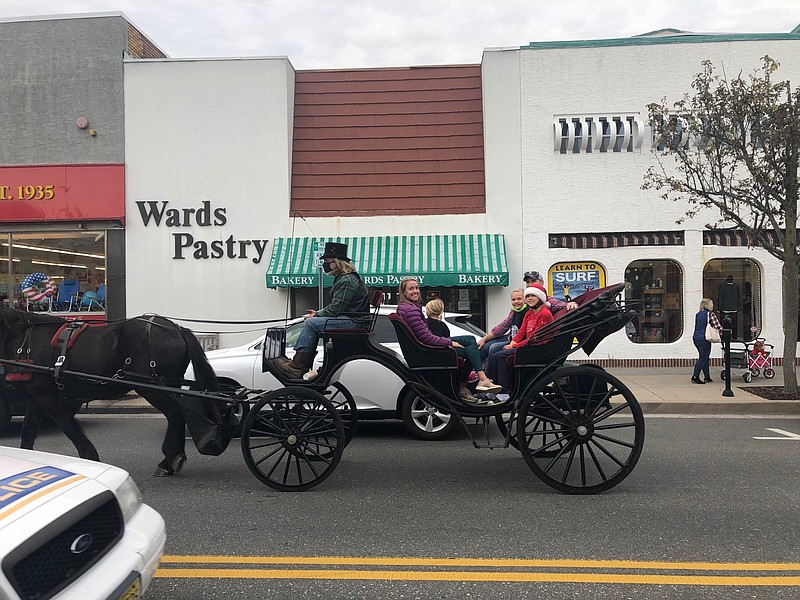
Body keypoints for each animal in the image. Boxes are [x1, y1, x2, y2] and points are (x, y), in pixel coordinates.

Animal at [0, 310, 227, 474]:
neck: (22, 340)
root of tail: (177, 329)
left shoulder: (49, 399)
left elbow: (70, 429)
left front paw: (91, 458)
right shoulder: (37, 398)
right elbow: (28, 432)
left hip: (151, 388)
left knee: (175, 414)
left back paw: (169, 460)